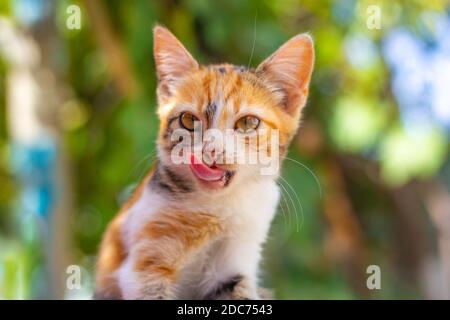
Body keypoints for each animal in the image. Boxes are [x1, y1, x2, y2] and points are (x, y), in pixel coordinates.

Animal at [95, 25, 312, 300]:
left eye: (248, 123)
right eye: (188, 120)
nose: (211, 149)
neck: (217, 208)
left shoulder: (235, 263)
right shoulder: (143, 267)